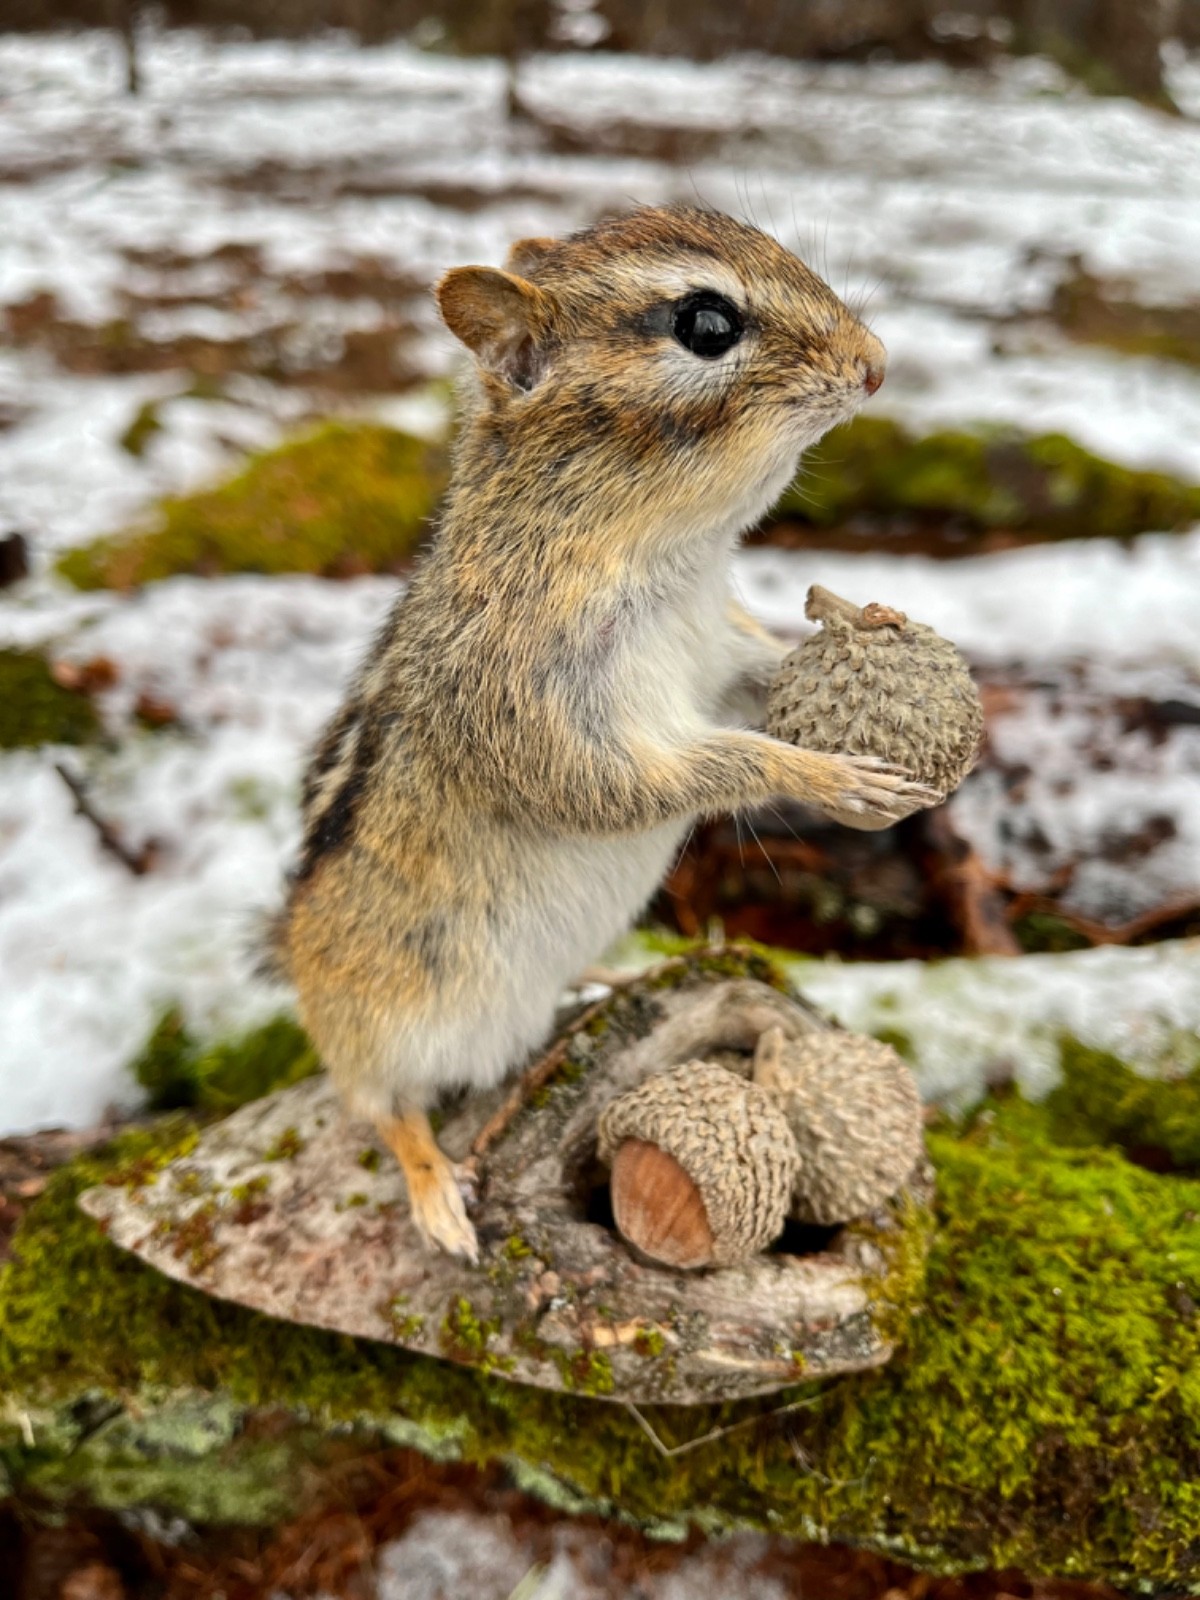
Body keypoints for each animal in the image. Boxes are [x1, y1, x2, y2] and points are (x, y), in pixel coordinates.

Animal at [271, 204, 935, 1262]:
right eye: (706, 325)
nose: (875, 365)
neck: (669, 554)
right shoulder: (538, 719)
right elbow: (683, 771)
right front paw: (829, 777)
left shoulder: (716, 652)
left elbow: (767, 673)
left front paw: (860, 617)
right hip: (380, 1018)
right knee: (379, 1106)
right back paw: (433, 1189)